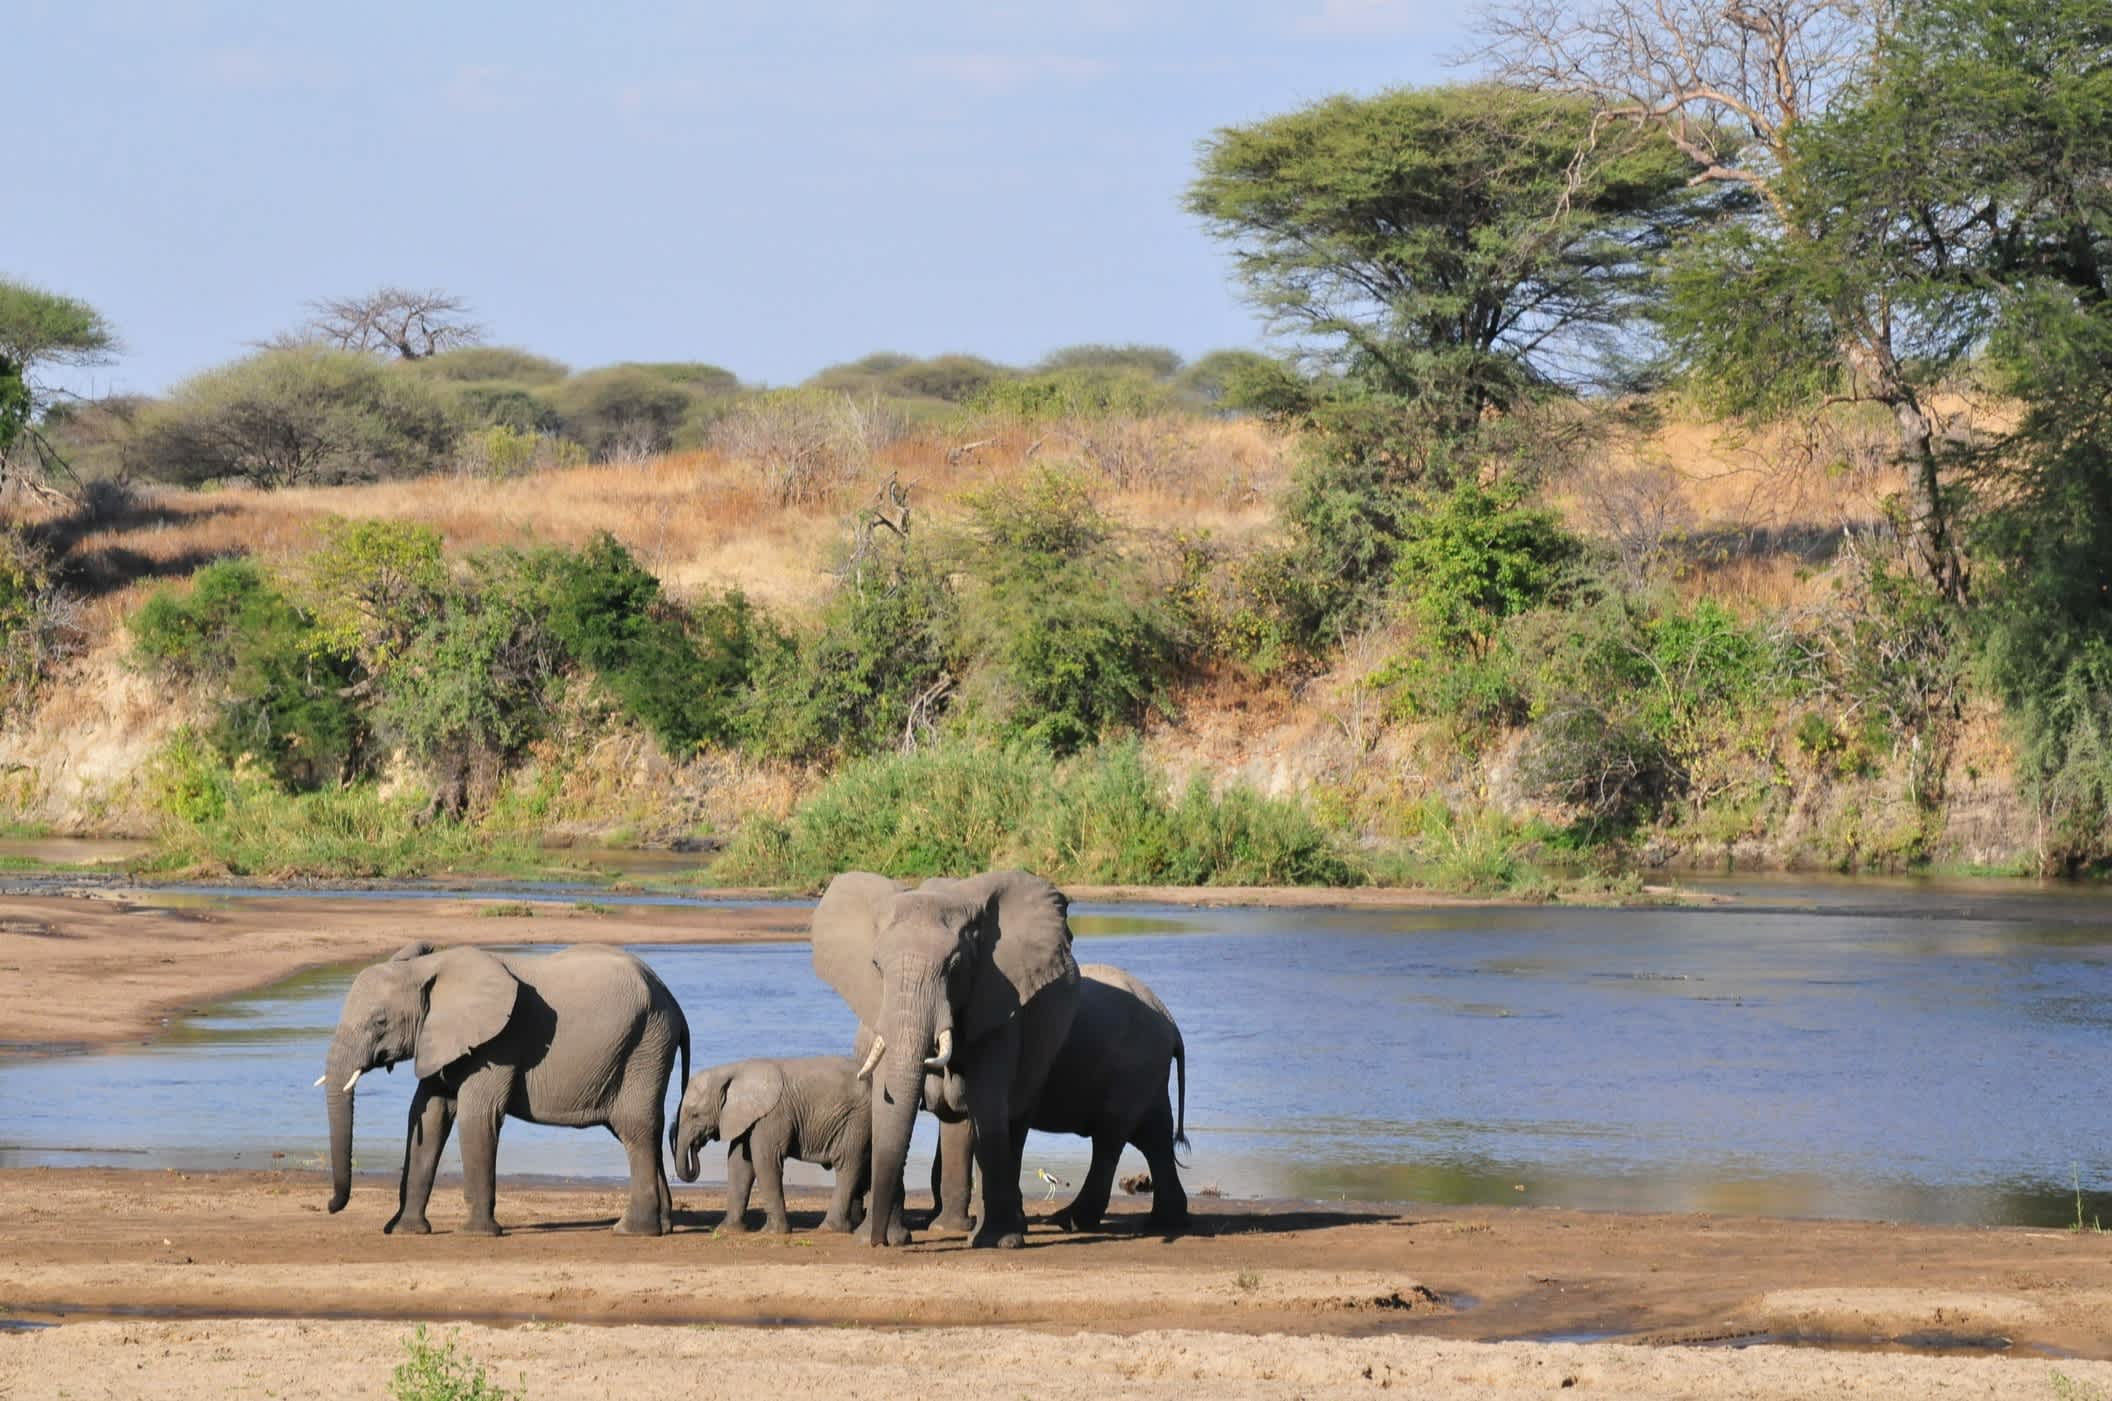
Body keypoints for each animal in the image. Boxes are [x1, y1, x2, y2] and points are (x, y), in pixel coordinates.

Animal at [316, 942, 688, 1242]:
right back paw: (663, 1226)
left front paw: (476, 1234)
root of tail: (673, 1001)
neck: (428, 968)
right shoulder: (439, 1039)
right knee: (634, 1130)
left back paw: (632, 1231)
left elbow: (477, 1116)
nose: (332, 1206)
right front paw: (405, 1231)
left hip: (646, 1044)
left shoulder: (498, 1043)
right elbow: (429, 1114)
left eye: (380, 1021)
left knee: (635, 1128)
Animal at [675, 1056, 874, 1234]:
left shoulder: (771, 1116)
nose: (696, 1146)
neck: (733, 1070)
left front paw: (772, 1232)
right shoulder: (746, 1117)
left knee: (847, 1163)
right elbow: (739, 1164)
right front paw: (727, 1230)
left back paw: (829, 1229)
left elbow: (765, 1160)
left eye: (695, 1115)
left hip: (857, 1118)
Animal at [802, 866, 1072, 1250]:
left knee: (1012, 1120)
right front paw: (886, 1238)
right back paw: (947, 1228)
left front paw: (998, 1242)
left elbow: (988, 1102)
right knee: (957, 1121)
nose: (877, 1242)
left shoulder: (997, 1001)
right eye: (876, 966)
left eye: (955, 966)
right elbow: (885, 1100)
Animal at [929, 963, 1182, 1242]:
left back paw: (1070, 1221)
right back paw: (1165, 1222)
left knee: (1110, 1138)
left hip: (1133, 1068)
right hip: (1147, 1074)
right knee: (1155, 1138)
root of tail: (1170, 1021)